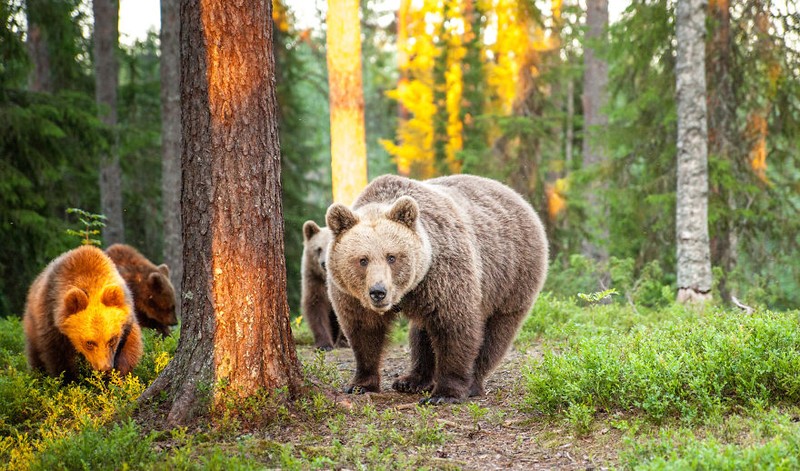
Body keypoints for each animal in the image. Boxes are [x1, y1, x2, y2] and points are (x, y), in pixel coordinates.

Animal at [23, 245, 145, 382]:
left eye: (112, 340)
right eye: (89, 343)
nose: (105, 368)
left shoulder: (127, 319)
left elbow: (130, 348)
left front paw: (119, 375)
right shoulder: (51, 319)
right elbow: (58, 358)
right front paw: (69, 380)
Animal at [304, 221, 346, 350]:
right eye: (318, 249)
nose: (324, 264)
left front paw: (343, 342)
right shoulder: (314, 280)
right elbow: (316, 308)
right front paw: (324, 344)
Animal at [326, 175, 552, 404]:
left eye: (392, 257)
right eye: (362, 260)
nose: (378, 292)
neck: (408, 291)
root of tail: (518, 198)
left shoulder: (442, 275)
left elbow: (454, 328)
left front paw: (445, 393)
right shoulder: (352, 295)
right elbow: (364, 332)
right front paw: (360, 384)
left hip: (510, 278)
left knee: (496, 334)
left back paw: (472, 383)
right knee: (422, 333)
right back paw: (411, 381)